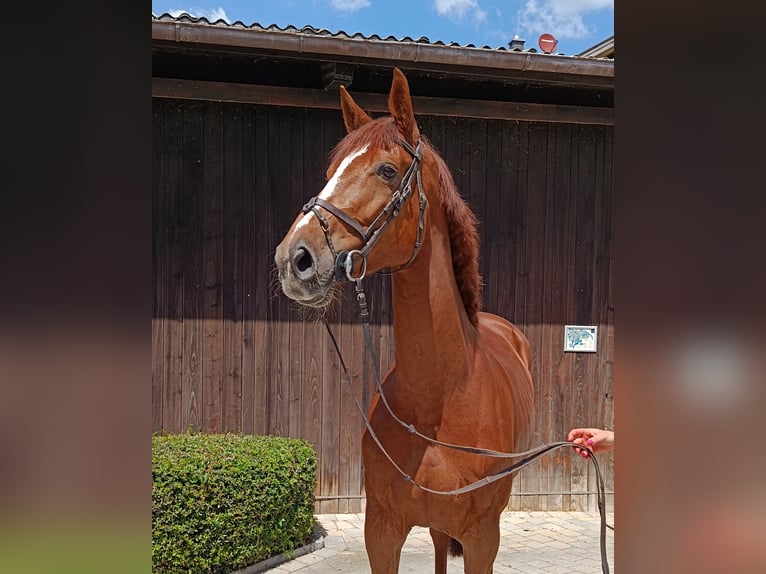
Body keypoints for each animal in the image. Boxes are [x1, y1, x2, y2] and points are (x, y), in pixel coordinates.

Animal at [274, 68, 535, 574]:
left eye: (387, 171)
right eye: (330, 174)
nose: (294, 260)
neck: (439, 402)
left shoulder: (482, 540)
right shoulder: (381, 532)